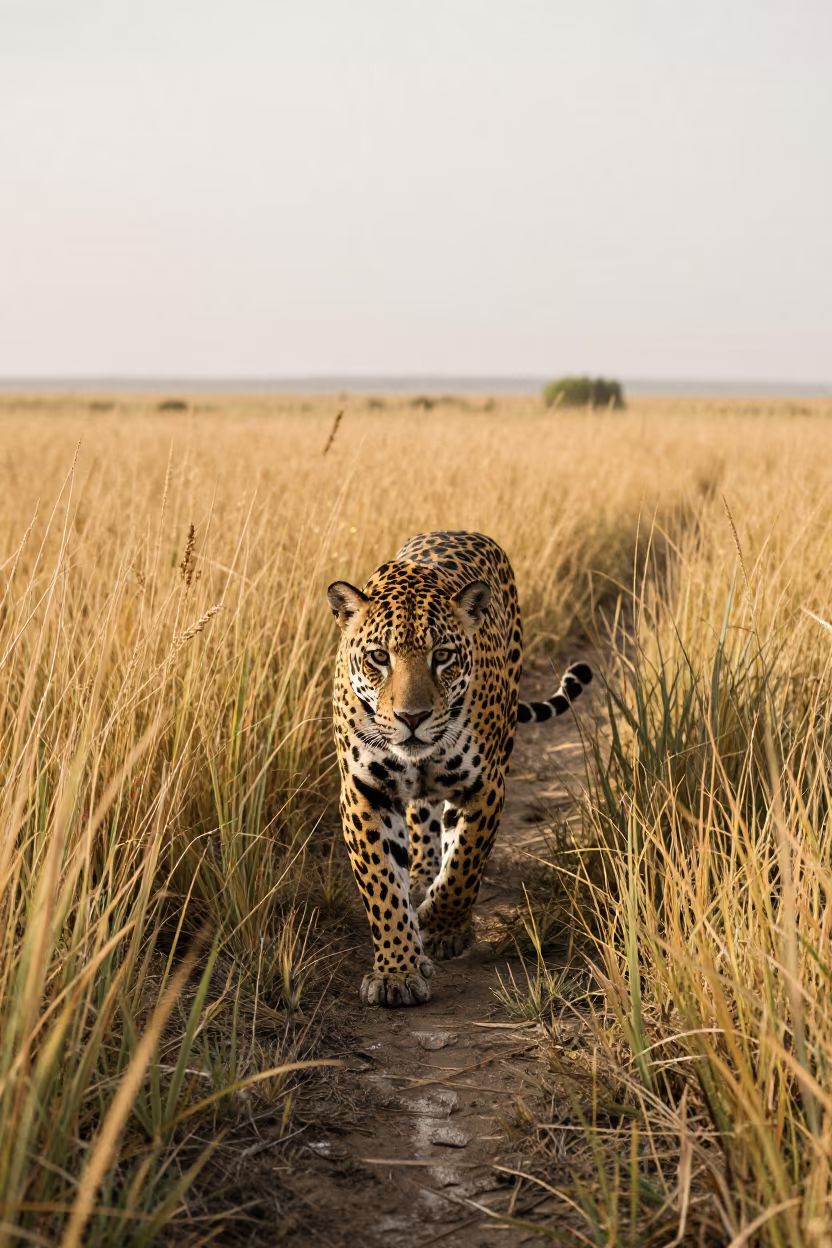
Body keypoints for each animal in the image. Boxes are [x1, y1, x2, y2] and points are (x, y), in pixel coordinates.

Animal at [327, 530, 592, 1007]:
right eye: (379, 657)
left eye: (444, 655)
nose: (411, 717)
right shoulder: (364, 791)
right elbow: (382, 886)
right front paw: (397, 971)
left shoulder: (486, 785)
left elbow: (465, 864)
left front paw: (441, 927)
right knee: (423, 827)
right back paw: (419, 879)